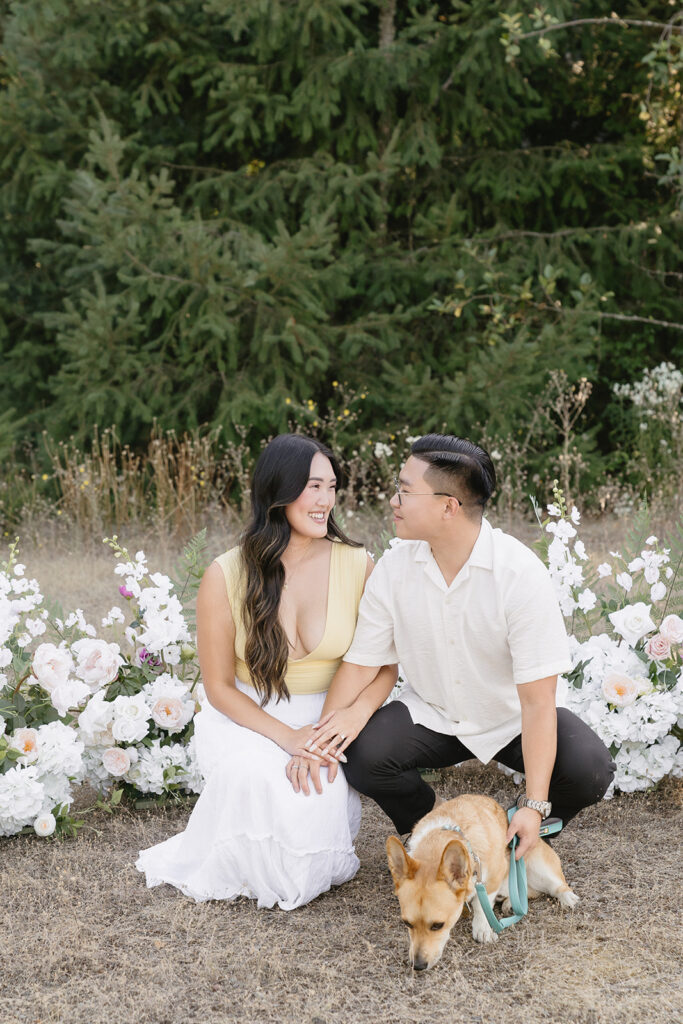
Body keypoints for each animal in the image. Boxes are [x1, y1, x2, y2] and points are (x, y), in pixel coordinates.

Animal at [387, 790, 581, 966]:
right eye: (407, 923)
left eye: (437, 925)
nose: (418, 966)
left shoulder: (494, 876)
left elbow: (482, 903)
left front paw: (482, 929)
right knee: (528, 890)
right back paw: (510, 902)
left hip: (537, 865)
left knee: (555, 886)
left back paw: (567, 898)